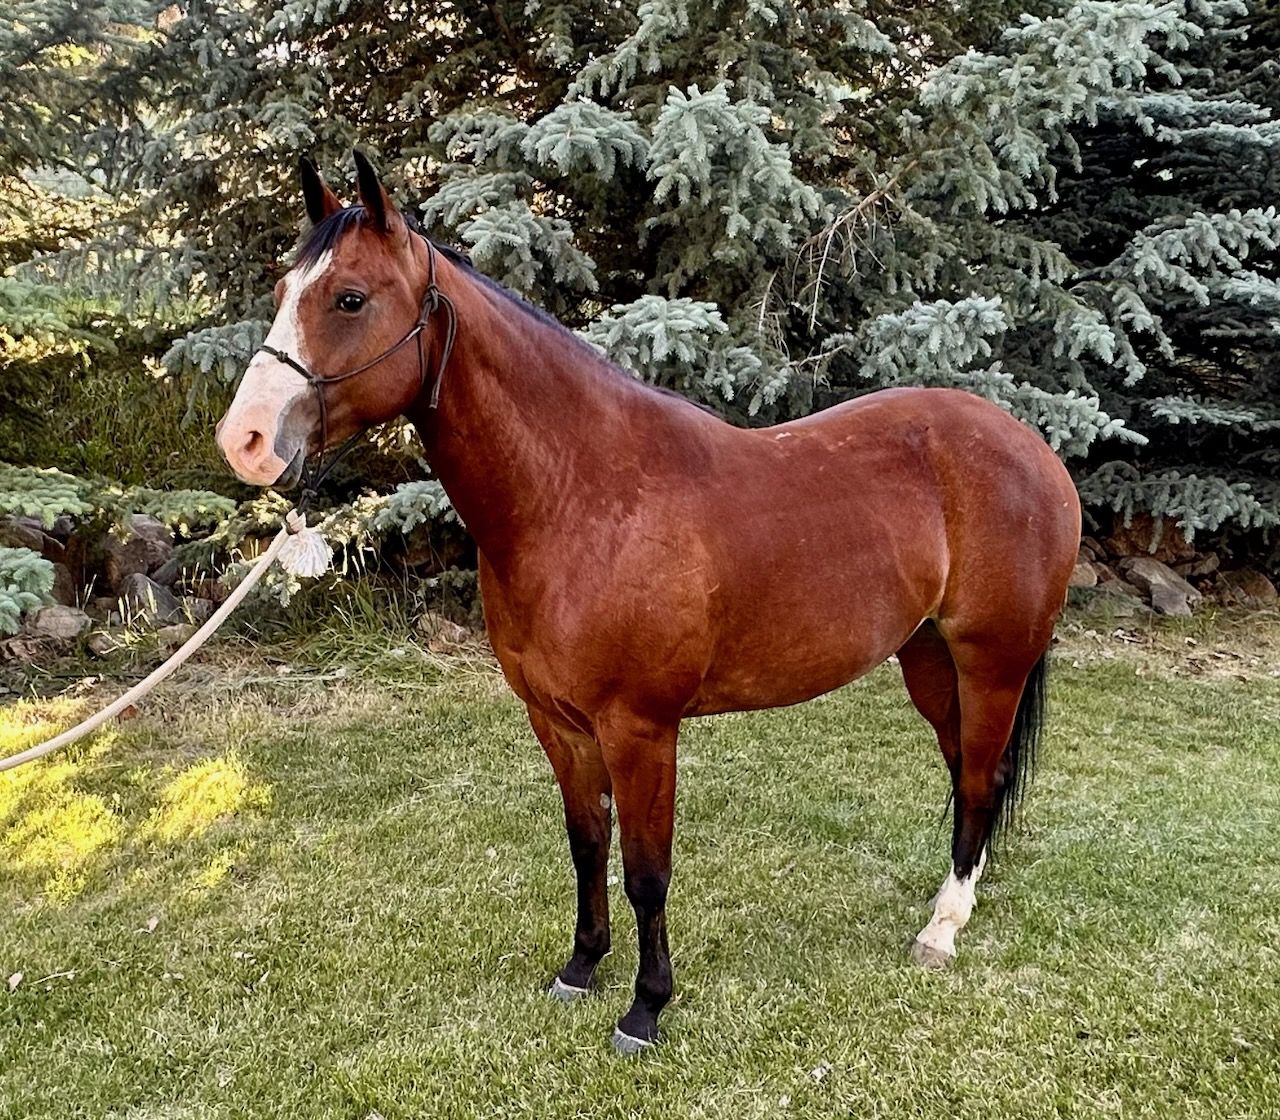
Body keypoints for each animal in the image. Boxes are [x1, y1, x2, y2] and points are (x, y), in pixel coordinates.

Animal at [215, 152, 1082, 1055]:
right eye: (283, 288)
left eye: (349, 298)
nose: (245, 441)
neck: (579, 496)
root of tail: (1032, 447)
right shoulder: (558, 723)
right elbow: (586, 845)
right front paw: (580, 967)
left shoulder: (640, 729)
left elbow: (646, 871)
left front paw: (646, 1007)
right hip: (928, 657)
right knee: (965, 772)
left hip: (991, 662)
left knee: (980, 777)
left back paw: (942, 930)